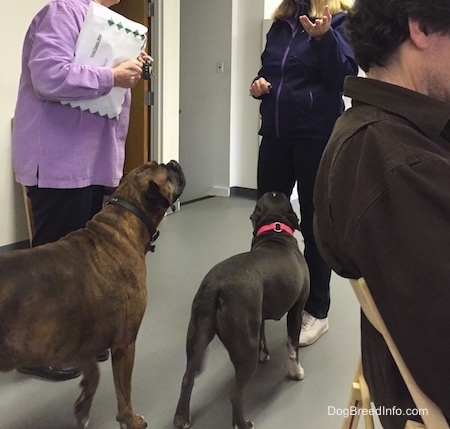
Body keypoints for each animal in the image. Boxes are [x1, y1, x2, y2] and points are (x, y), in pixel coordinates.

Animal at [0, 160, 185, 428]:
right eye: (166, 171)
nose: (173, 162)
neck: (124, 222)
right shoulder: (125, 344)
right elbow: (124, 391)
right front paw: (130, 419)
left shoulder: (84, 342)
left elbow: (94, 375)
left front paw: (82, 406)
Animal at [174, 191, 312, 428]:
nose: (276, 189)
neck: (275, 230)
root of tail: (216, 286)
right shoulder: (296, 308)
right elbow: (293, 347)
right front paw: (295, 372)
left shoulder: (260, 316)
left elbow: (263, 336)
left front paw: (265, 354)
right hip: (244, 350)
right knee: (235, 393)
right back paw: (242, 423)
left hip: (197, 337)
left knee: (187, 378)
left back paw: (182, 418)